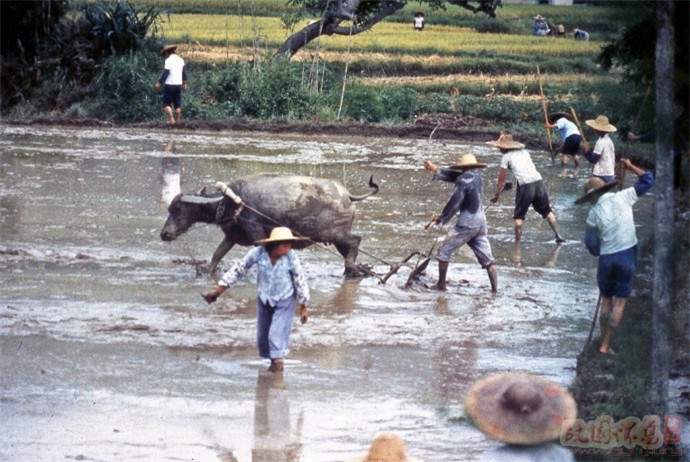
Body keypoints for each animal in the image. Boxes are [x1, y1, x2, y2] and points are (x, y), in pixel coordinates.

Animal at [159, 172, 378, 274]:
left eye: (176, 210)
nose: (164, 234)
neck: (230, 202)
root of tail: (347, 195)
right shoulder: (232, 236)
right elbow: (217, 255)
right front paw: (207, 271)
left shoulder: (257, 235)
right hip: (335, 238)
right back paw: (358, 270)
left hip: (333, 234)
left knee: (356, 241)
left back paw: (352, 268)